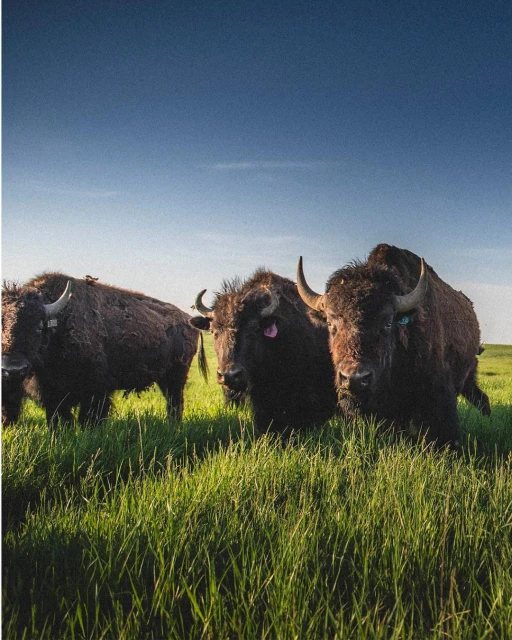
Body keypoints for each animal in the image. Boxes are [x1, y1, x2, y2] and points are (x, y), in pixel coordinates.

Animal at [2, 273, 206, 427]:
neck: (59, 323)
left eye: (39, 326)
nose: (13, 369)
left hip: (175, 377)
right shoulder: (53, 395)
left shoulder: (96, 392)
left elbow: (90, 418)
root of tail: (187, 320)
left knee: (175, 402)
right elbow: (60, 419)